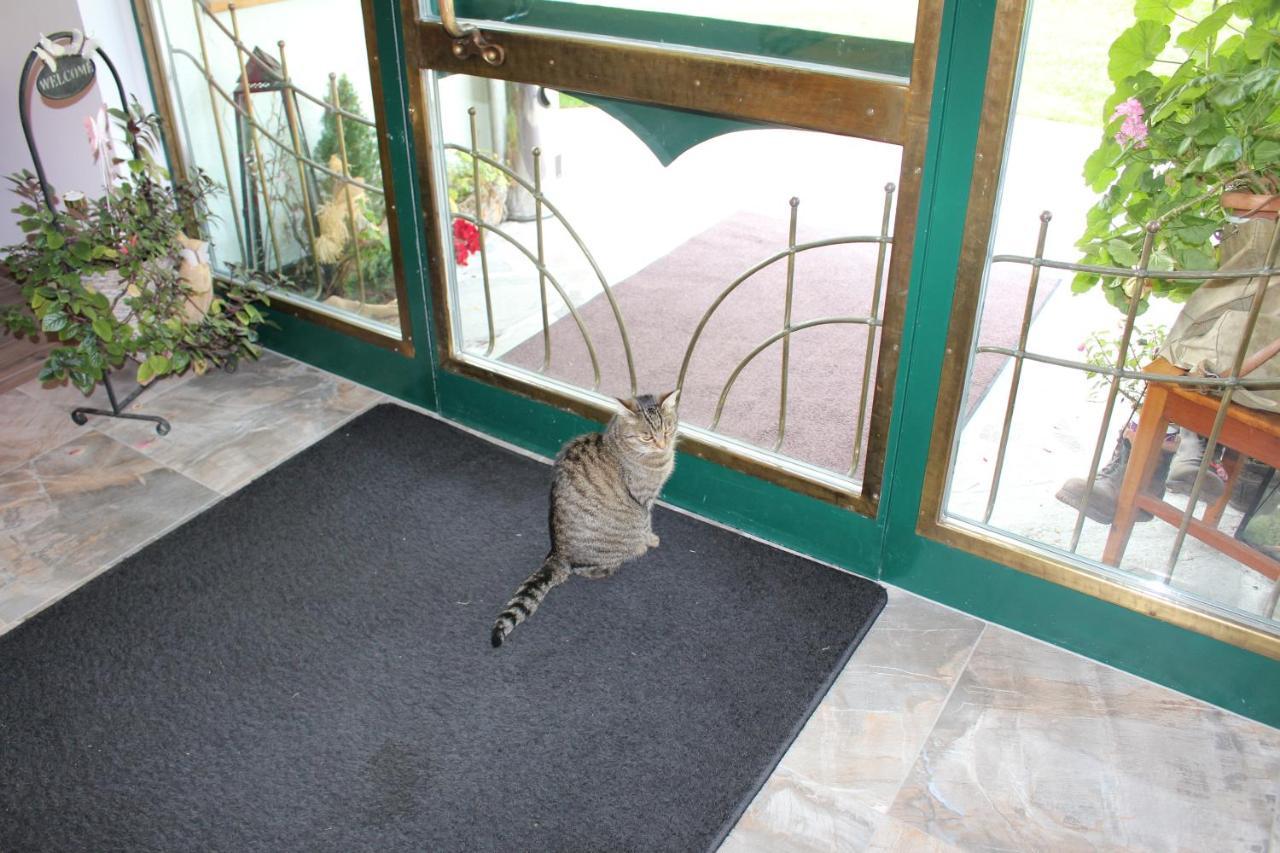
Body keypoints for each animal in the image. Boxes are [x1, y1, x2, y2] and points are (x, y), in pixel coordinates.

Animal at [488, 389, 680, 645]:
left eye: (668, 430)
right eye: (647, 437)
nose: (662, 443)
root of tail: (558, 553)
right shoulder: (644, 499)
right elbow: (647, 523)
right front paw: (649, 540)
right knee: (590, 570)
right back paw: (633, 551)